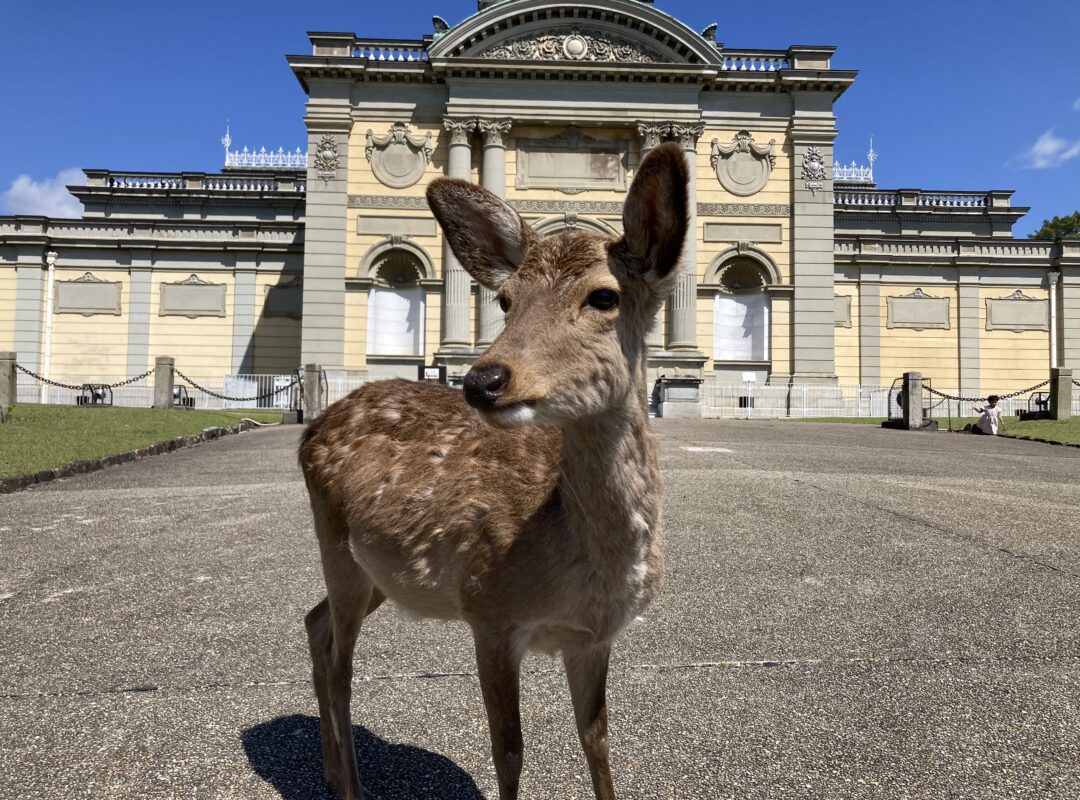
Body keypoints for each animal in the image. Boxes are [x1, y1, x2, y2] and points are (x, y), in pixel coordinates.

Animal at [298, 142, 688, 800]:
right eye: (506, 300)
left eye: (604, 296)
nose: (483, 379)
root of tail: (310, 429)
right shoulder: (489, 610)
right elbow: (509, 751)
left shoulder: (594, 638)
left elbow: (599, 743)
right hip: (336, 547)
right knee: (340, 657)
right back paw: (351, 785)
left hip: (374, 572)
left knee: (315, 621)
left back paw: (329, 772)